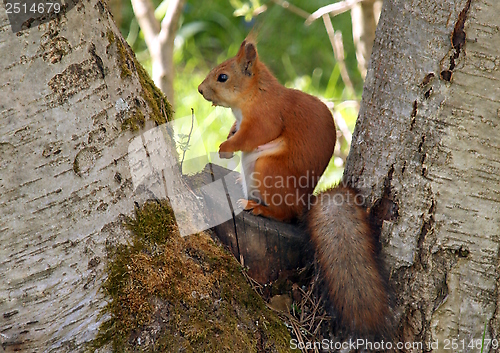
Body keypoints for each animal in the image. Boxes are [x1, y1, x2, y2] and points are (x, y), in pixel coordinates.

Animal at [197, 36, 388, 336]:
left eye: (223, 77)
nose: (200, 89)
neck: (256, 94)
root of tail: (303, 203)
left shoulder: (267, 117)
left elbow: (251, 136)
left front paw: (225, 147)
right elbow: (237, 129)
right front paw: (229, 133)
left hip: (267, 170)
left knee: (284, 214)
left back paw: (258, 208)